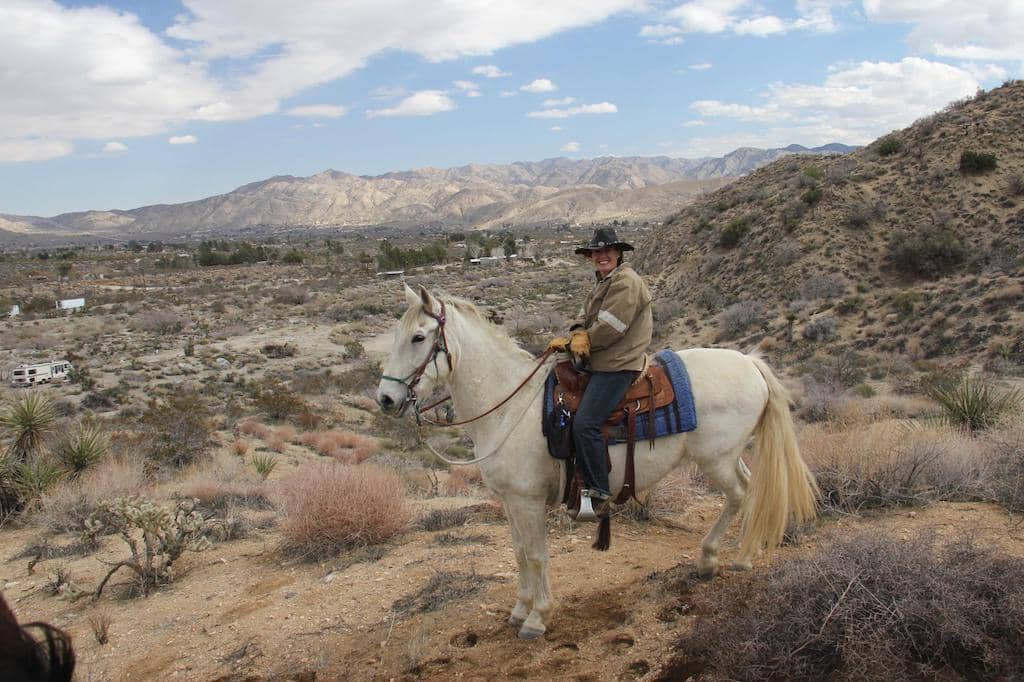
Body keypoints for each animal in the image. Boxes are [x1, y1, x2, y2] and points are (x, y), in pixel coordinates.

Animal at [376, 284, 815, 638]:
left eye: (418, 337)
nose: (385, 399)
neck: (510, 405)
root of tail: (750, 362)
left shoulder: (528, 501)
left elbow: (536, 555)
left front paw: (538, 618)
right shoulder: (510, 502)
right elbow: (518, 553)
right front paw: (519, 611)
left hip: (716, 459)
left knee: (740, 493)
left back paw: (717, 559)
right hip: (728, 456)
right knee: (749, 488)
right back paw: (740, 554)